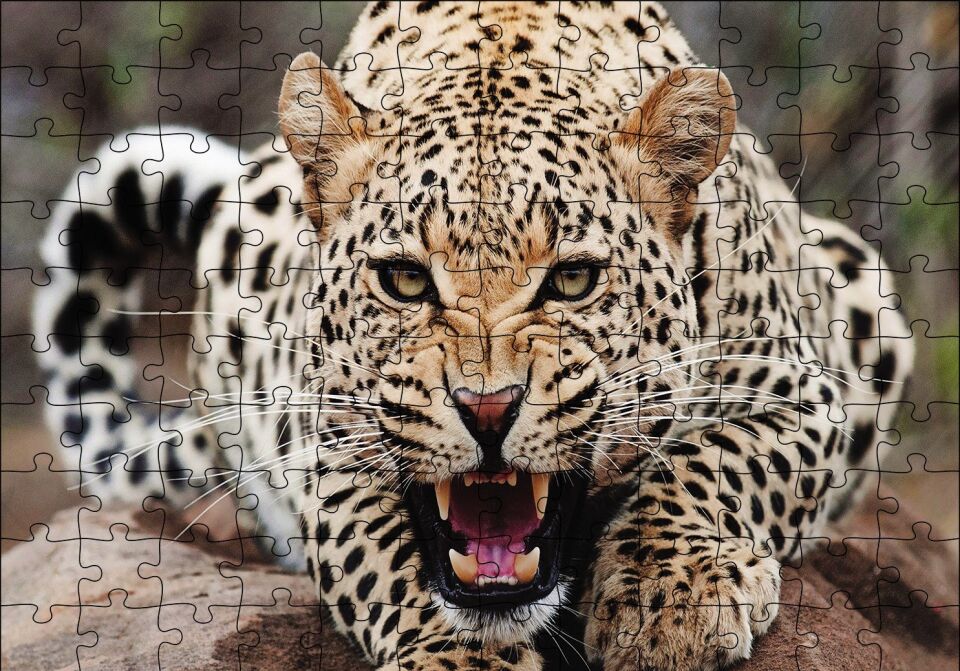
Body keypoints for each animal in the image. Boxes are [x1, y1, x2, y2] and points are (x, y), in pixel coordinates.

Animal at [34, 2, 913, 670]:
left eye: (572, 280)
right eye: (404, 280)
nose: (487, 409)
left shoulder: (807, 394)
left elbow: (714, 460)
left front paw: (671, 599)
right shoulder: (327, 444)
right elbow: (384, 557)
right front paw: (460, 657)